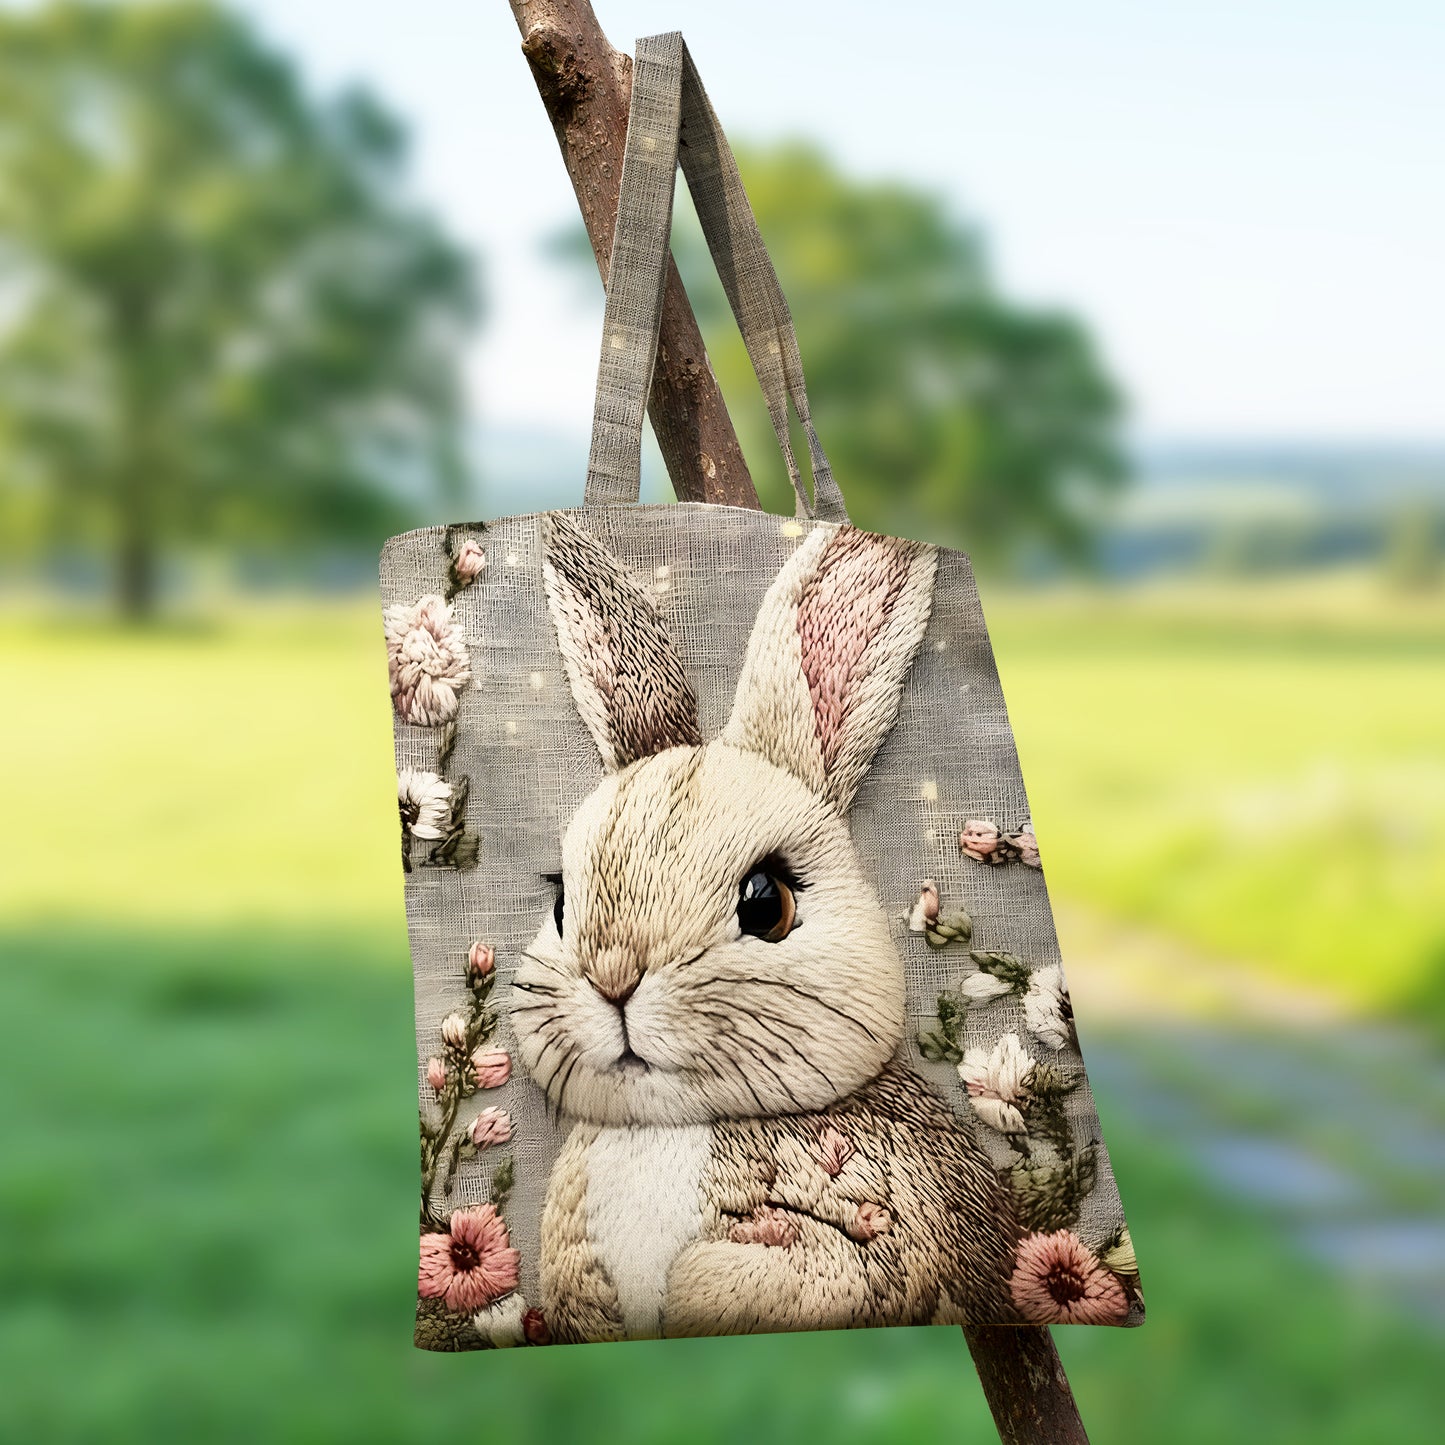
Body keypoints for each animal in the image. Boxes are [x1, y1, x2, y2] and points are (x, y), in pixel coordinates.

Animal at [511, 513, 1020, 1342]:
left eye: (766, 903)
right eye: (560, 905)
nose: (614, 977)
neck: (675, 1128)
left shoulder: (878, 1244)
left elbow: (756, 1273)